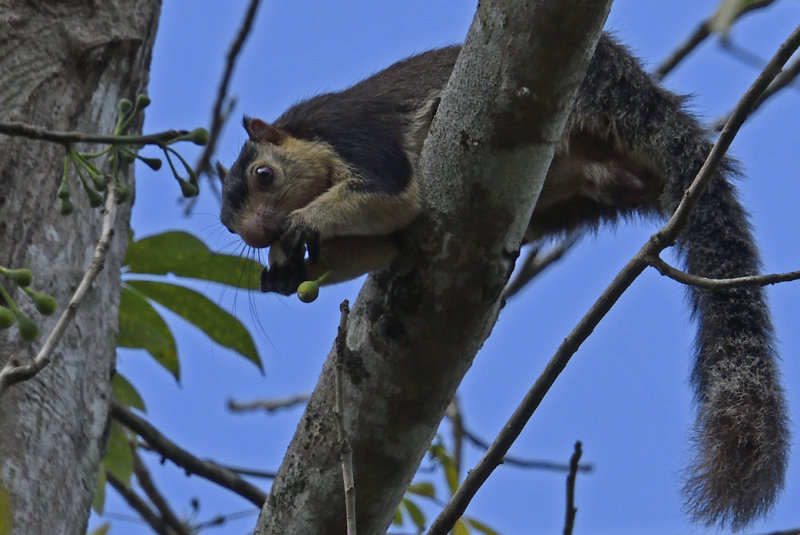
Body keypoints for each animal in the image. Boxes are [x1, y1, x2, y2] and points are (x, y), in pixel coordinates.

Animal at [217, 34, 788, 532]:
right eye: (227, 224)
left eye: (265, 176)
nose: (258, 232)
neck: (309, 142)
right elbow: (390, 239)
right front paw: (285, 271)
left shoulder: (355, 135)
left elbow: (393, 194)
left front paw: (301, 226)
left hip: (579, 103)